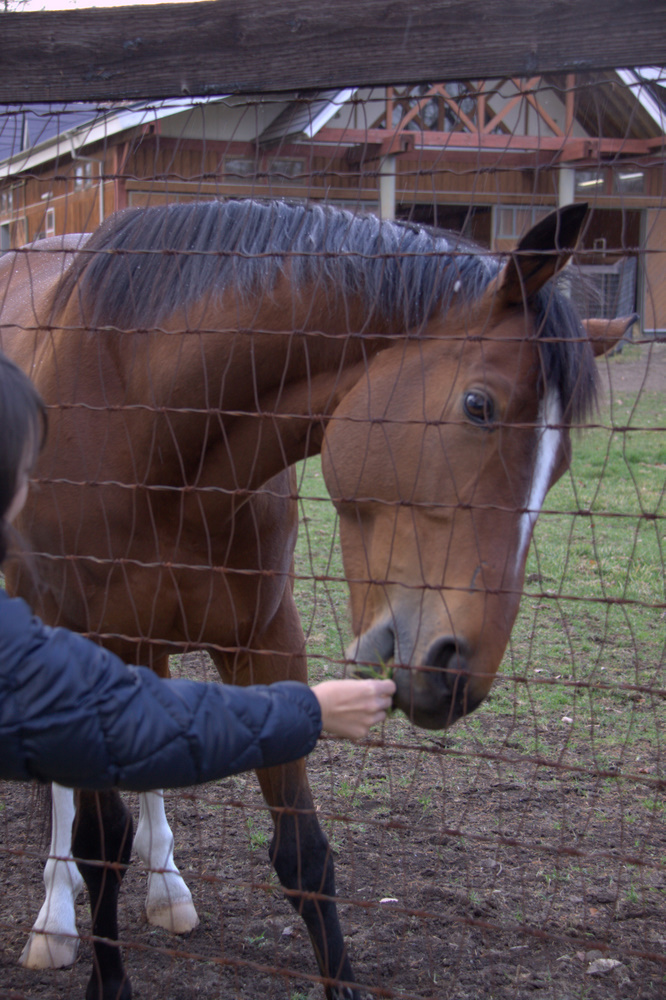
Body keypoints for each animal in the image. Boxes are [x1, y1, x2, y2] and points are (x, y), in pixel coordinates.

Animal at [0, 197, 628, 1000]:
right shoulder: (85, 635)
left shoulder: (267, 641)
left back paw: (167, 887)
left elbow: (304, 854)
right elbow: (98, 842)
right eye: (478, 406)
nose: (457, 669)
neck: (145, 425)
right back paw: (53, 918)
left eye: (562, 463)